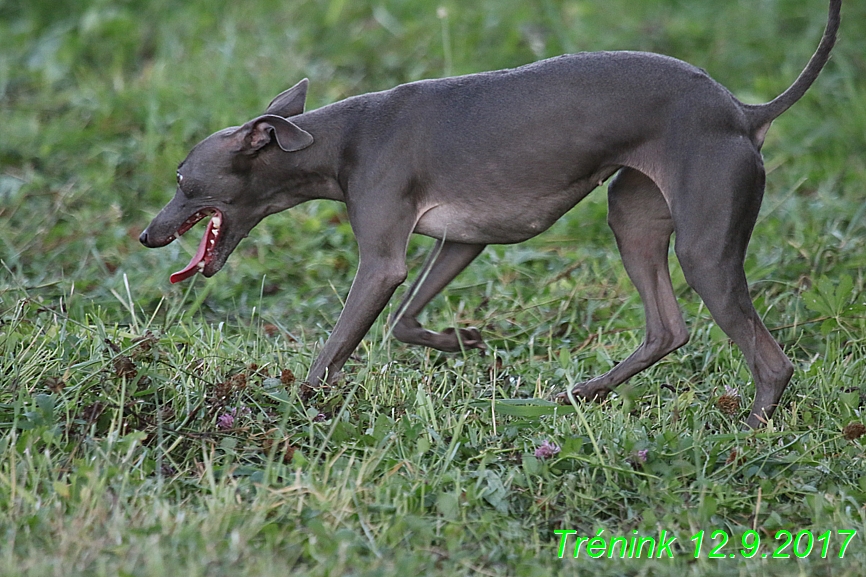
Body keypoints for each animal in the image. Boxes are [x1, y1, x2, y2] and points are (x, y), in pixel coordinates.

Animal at [140, 1, 836, 428]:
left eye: (181, 181)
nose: (147, 234)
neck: (338, 140)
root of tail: (744, 112)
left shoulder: (383, 260)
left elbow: (336, 346)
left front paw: (299, 405)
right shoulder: (461, 240)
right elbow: (404, 324)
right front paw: (465, 341)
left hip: (704, 245)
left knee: (769, 359)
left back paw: (748, 430)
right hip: (633, 214)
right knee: (667, 330)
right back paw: (576, 394)